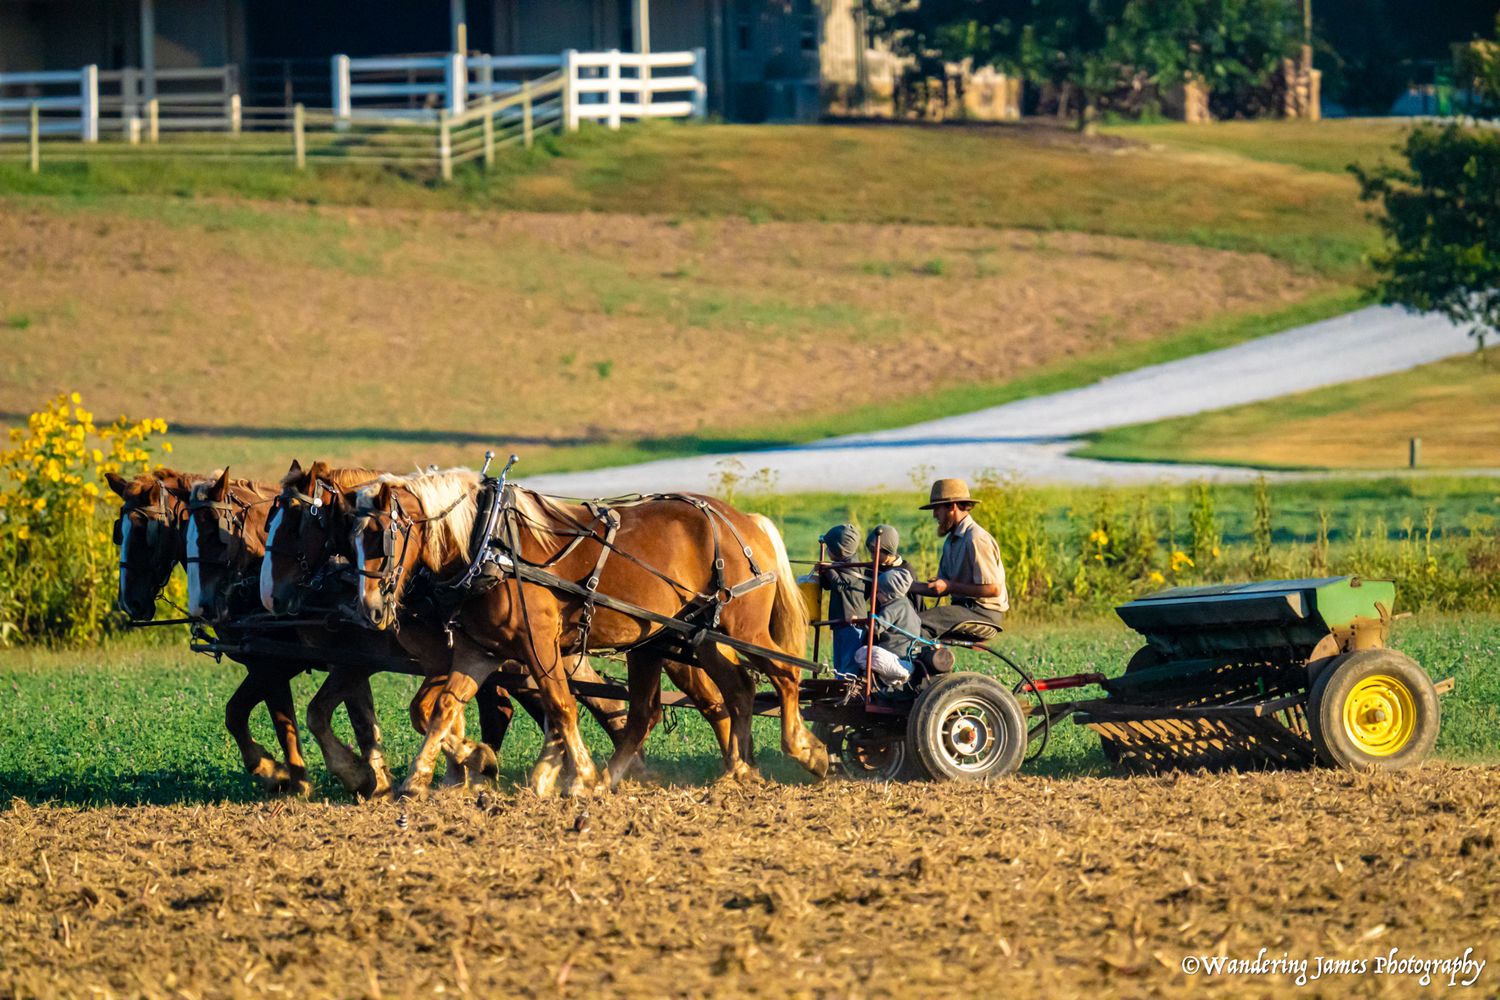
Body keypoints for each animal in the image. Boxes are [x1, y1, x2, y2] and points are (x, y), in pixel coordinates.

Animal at [341, 469, 828, 797]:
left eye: (381, 536)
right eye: (350, 539)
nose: (370, 608)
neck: (488, 542)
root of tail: (745, 520)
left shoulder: (538, 644)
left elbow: (561, 706)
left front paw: (577, 775)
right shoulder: (482, 651)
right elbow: (443, 707)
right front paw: (424, 776)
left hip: (740, 626)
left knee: (784, 674)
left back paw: (806, 751)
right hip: (693, 637)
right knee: (727, 691)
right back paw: (734, 771)